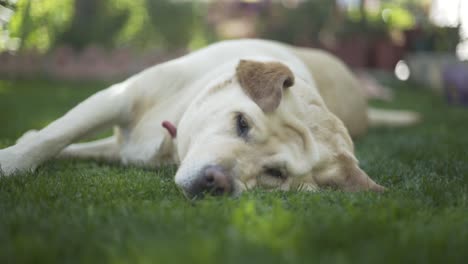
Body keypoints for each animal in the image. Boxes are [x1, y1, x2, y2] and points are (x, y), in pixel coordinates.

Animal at [0, 38, 418, 196]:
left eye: (275, 174)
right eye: (242, 123)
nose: (215, 181)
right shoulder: (118, 97)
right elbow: (55, 136)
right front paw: (13, 158)